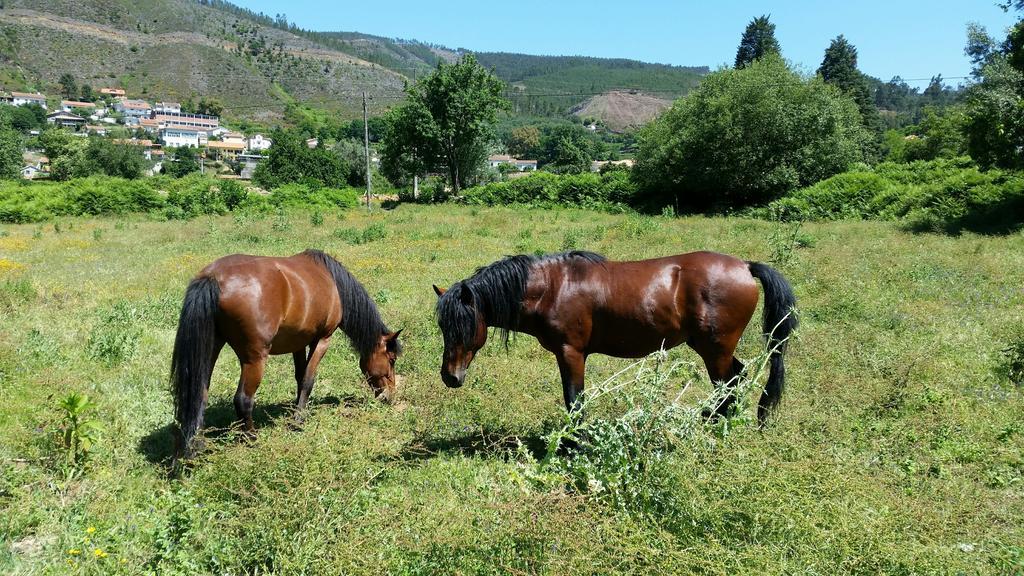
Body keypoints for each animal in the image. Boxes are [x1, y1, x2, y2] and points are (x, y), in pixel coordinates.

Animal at [172, 247, 399, 457]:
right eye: (392, 359)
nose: (390, 396)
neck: (333, 282)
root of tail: (213, 277)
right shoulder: (322, 340)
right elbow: (308, 379)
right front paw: (298, 420)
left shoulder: (298, 343)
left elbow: (300, 377)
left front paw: (297, 409)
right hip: (255, 359)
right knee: (243, 399)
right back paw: (252, 438)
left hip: (211, 350)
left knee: (199, 395)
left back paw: (196, 447)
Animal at [432, 250, 798, 422]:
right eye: (443, 327)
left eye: (464, 327)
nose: (450, 377)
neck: (553, 288)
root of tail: (745, 267)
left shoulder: (571, 352)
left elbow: (574, 401)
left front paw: (573, 443)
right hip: (712, 348)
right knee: (736, 378)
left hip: (715, 350)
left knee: (729, 385)